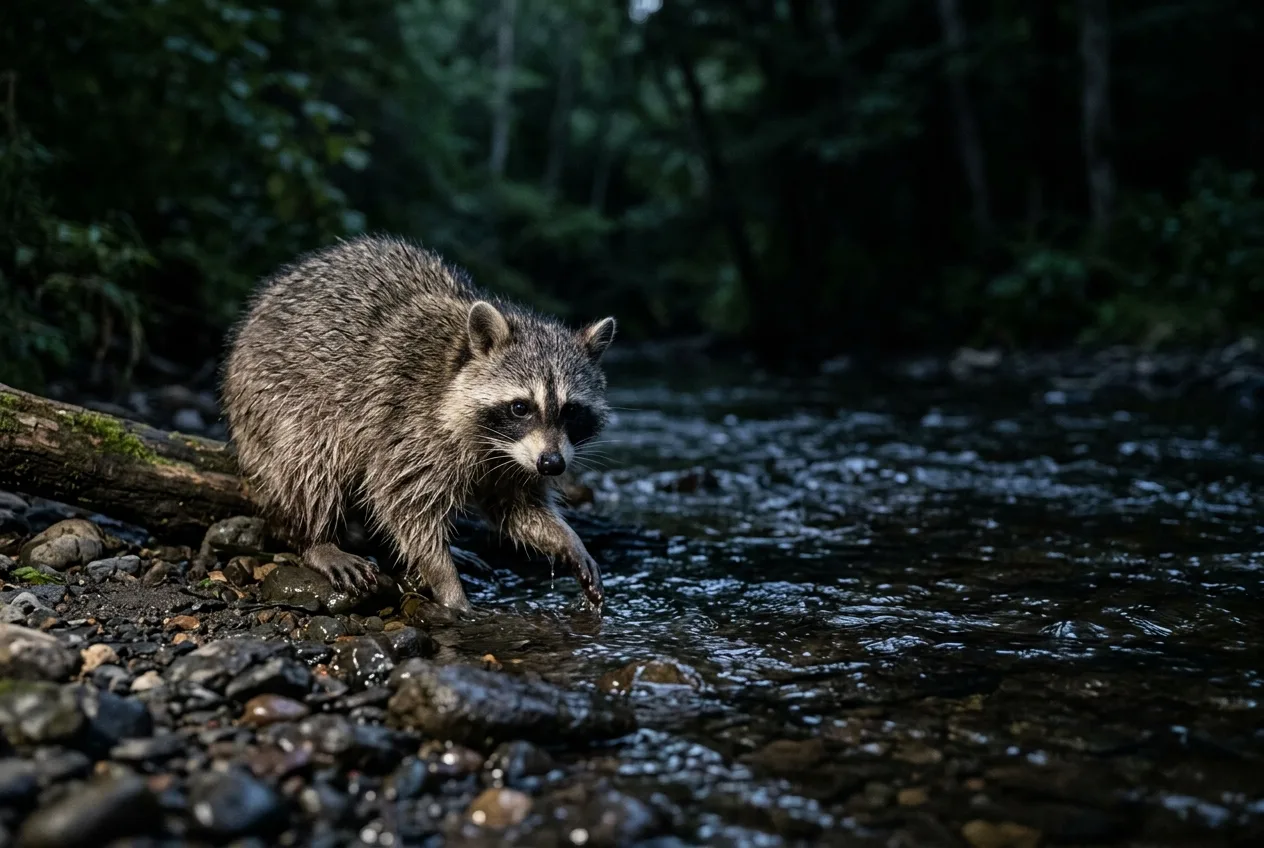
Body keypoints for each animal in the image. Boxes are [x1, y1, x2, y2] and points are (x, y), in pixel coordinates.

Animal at [220, 234, 615, 611]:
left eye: (571, 411)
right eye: (521, 407)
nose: (552, 465)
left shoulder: (513, 459)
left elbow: (516, 507)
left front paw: (566, 538)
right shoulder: (409, 423)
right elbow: (405, 503)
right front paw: (446, 581)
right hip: (274, 399)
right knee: (310, 459)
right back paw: (316, 539)